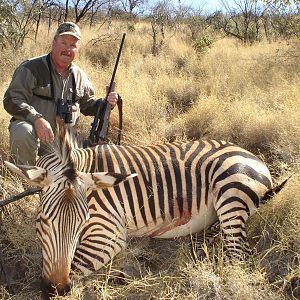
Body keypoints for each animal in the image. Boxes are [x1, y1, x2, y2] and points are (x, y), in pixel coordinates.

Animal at [3, 123, 288, 298]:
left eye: (82, 225)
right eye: (41, 222)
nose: (56, 288)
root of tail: (253, 157)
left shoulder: (109, 234)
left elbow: (75, 265)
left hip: (231, 196)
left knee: (239, 255)